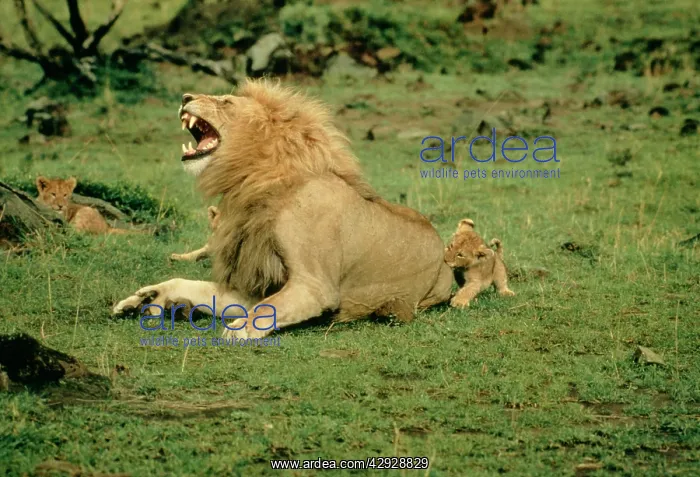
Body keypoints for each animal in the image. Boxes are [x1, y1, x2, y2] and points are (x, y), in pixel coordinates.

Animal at [112, 79, 453, 339]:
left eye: (226, 102)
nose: (185, 97)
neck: (253, 181)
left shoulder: (315, 286)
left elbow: (265, 309)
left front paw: (237, 328)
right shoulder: (256, 284)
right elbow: (186, 283)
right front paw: (145, 299)